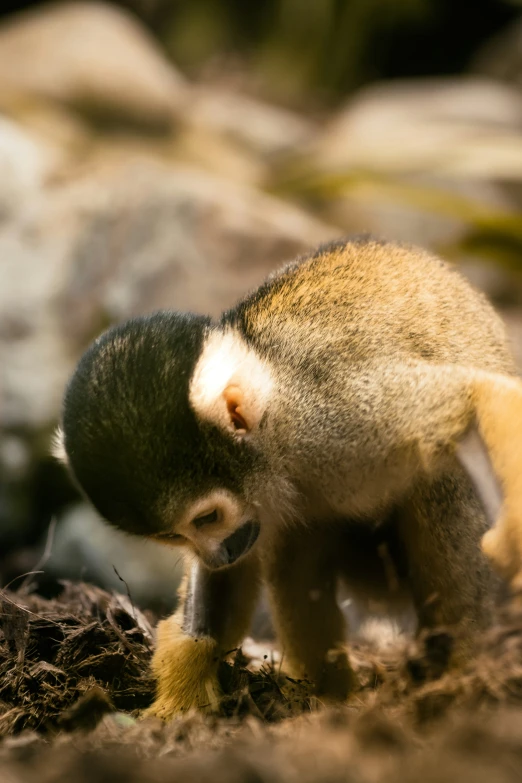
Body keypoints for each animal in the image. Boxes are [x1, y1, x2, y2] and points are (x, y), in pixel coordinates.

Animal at [55, 236, 520, 720]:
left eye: (206, 519)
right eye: (177, 538)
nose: (216, 554)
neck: (279, 443)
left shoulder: (336, 416)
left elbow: (474, 395)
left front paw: (514, 531)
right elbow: (234, 576)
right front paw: (183, 689)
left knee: (443, 481)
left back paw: (458, 670)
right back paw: (325, 692)